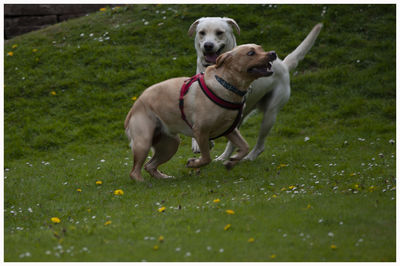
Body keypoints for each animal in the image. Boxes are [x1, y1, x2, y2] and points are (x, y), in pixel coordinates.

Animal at [124, 44, 276, 181]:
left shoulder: (230, 130)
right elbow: (206, 158)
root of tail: (134, 106)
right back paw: (143, 183)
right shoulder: (201, 132)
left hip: (170, 144)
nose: (273, 53)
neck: (225, 84)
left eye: (261, 48)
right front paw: (194, 163)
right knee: (134, 171)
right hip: (144, 142)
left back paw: (164, 178)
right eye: (251, 53)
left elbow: (245, 147)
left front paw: (231, 161)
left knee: (149, 166)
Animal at [188, 18, 322, 162]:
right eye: (202, 32)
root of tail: (284, 65)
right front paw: (198, 143)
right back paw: (223, 158)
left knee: (258, 144)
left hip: (269, 114)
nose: (208, 45)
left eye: (219, 32)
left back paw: (247, 157)